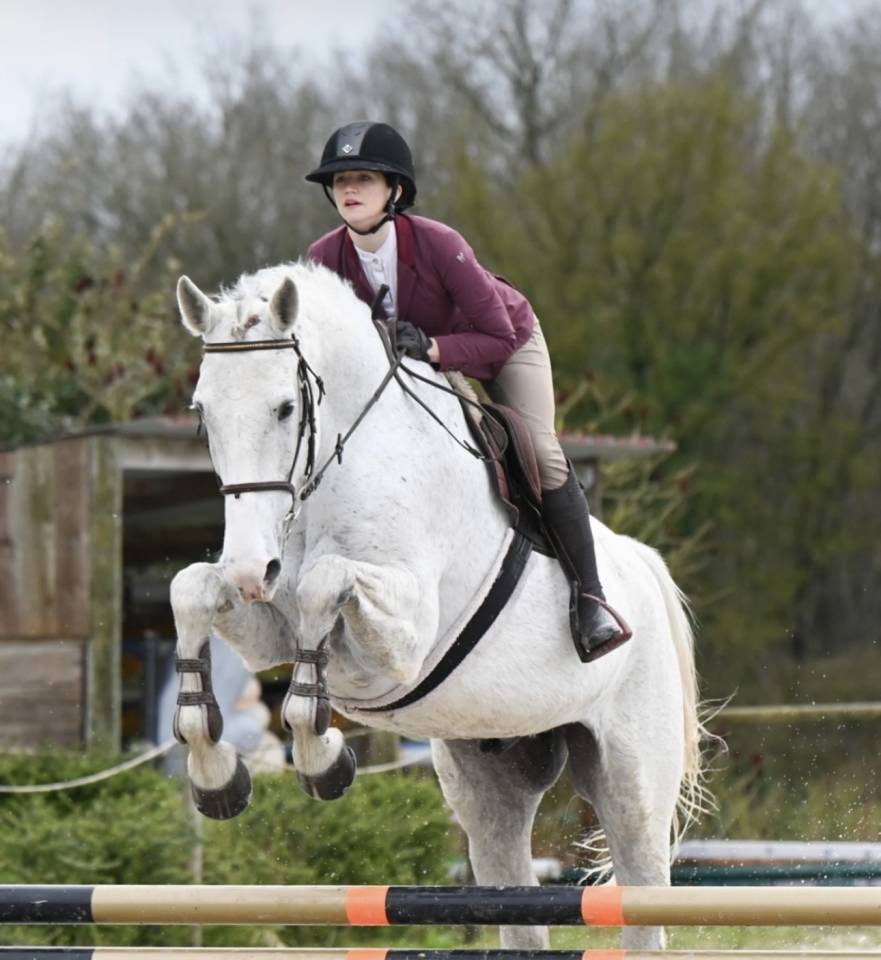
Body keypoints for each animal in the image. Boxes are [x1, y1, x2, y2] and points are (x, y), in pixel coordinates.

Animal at [171, 260, 703, 951]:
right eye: (202, 414)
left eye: (285, 408)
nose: (248, 568)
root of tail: (643, 562)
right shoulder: (268, 626)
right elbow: (192, 589)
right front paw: (215, 773)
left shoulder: (404, 636)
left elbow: (322, 582)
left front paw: (323, 759)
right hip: (490, 781)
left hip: (632, 778)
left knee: (641, 885)